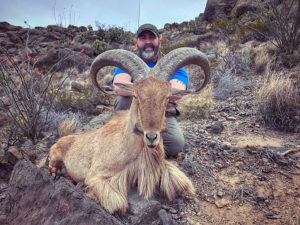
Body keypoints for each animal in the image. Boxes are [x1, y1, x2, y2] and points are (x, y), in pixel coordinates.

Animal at [48, 46, 210, 214]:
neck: (128, 147)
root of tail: (60, 140)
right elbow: (117, 203)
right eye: (136, 96)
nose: (151, 137)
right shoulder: (96, 176)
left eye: (167, 98)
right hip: (55, 156)